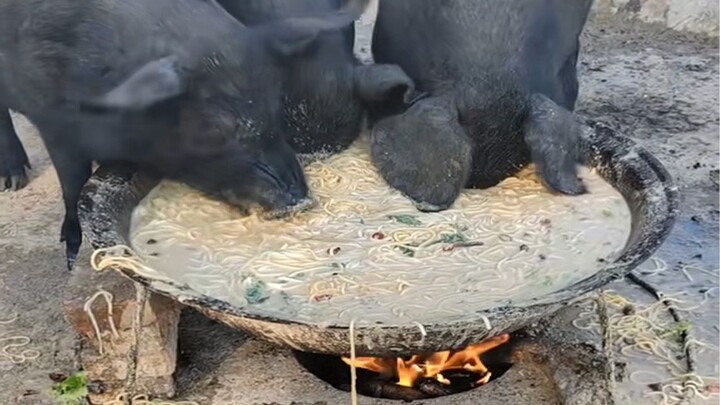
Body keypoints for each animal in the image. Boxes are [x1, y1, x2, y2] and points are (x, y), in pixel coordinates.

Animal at [0, 0, 368, 268]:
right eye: (217, 126)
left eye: (275, 100)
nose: (301, 201)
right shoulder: (52, 123)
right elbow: (72, 183)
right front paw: (72, 257)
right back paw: (13, 180)